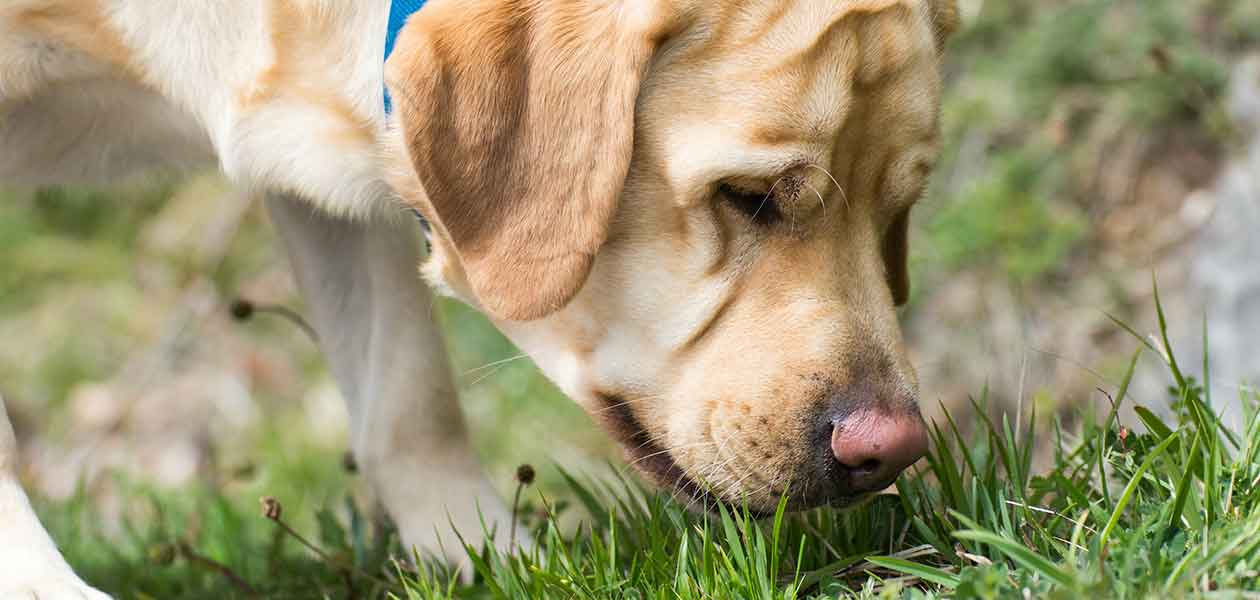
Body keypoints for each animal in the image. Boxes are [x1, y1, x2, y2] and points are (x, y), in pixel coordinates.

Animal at [0, 0, 957, 592]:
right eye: (750, 197)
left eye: (898, 211)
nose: (893, 451)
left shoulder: (336, 184)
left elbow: (407, 398)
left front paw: (486, 559)